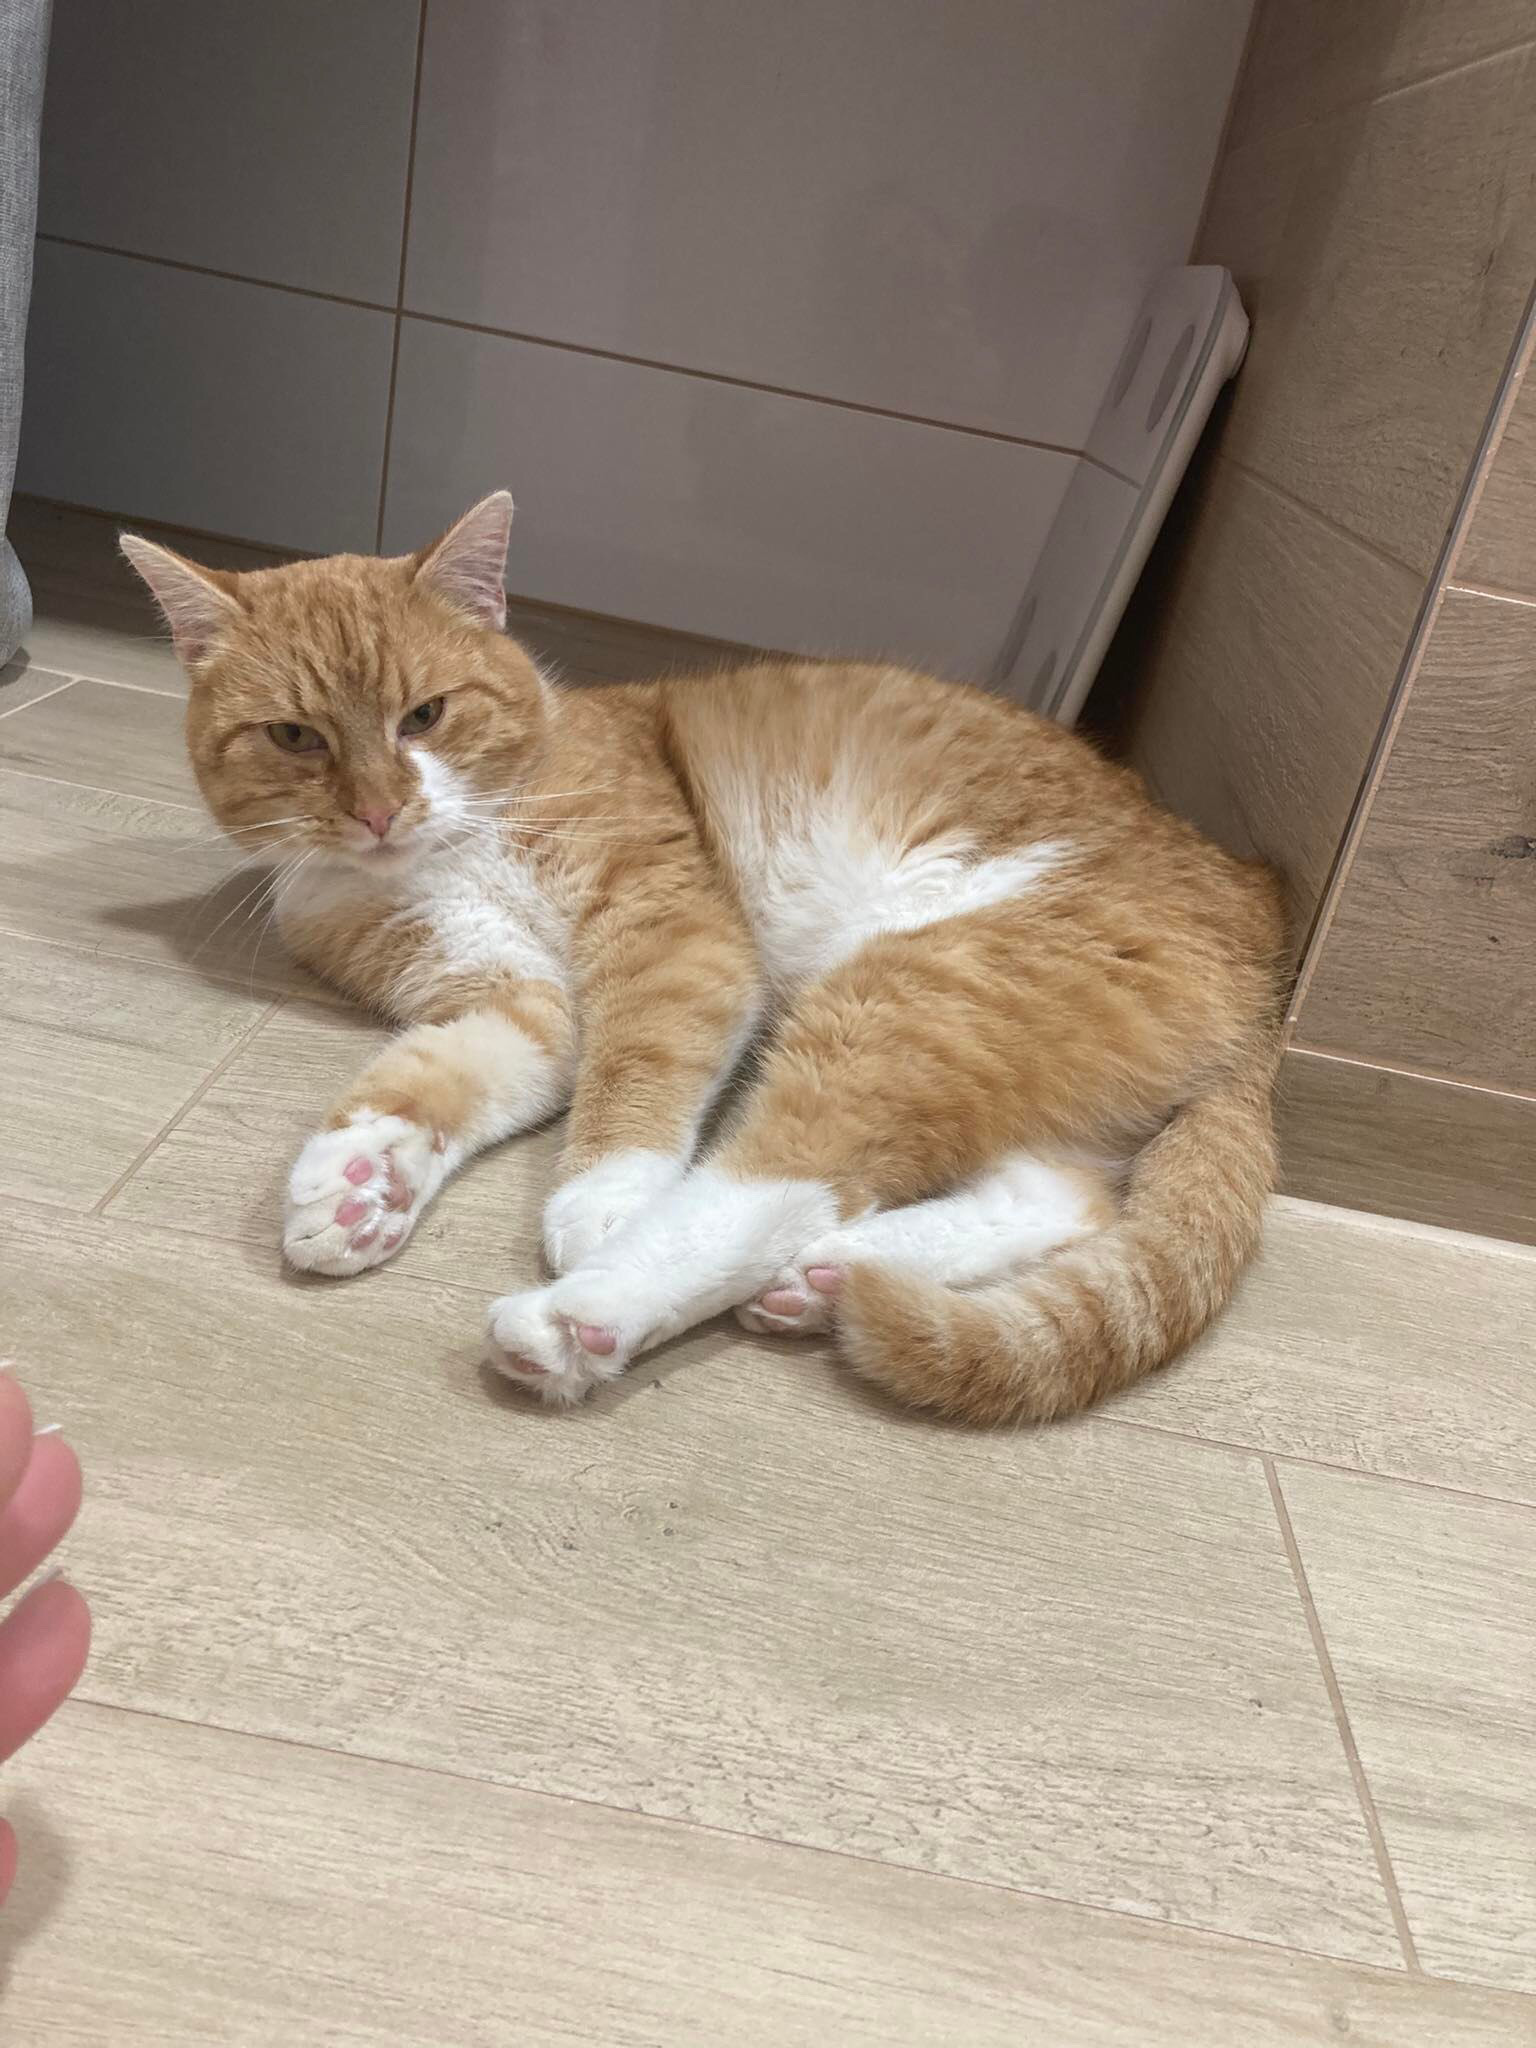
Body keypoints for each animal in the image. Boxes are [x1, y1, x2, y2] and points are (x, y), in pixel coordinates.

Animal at [122, 492, 1285, 1425]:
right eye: (295, 738)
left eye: (426, 714)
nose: (377, 811)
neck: (462, 844)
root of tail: (1263, 958)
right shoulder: (503, 991)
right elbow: (448, 1071)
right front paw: (362, 1179)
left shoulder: (673, 932)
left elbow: (639, 1071)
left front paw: (602, 1201)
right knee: (1052, 1198)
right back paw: (831, 1274)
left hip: (919, 987)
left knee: (775, 1187)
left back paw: (586, 1313)